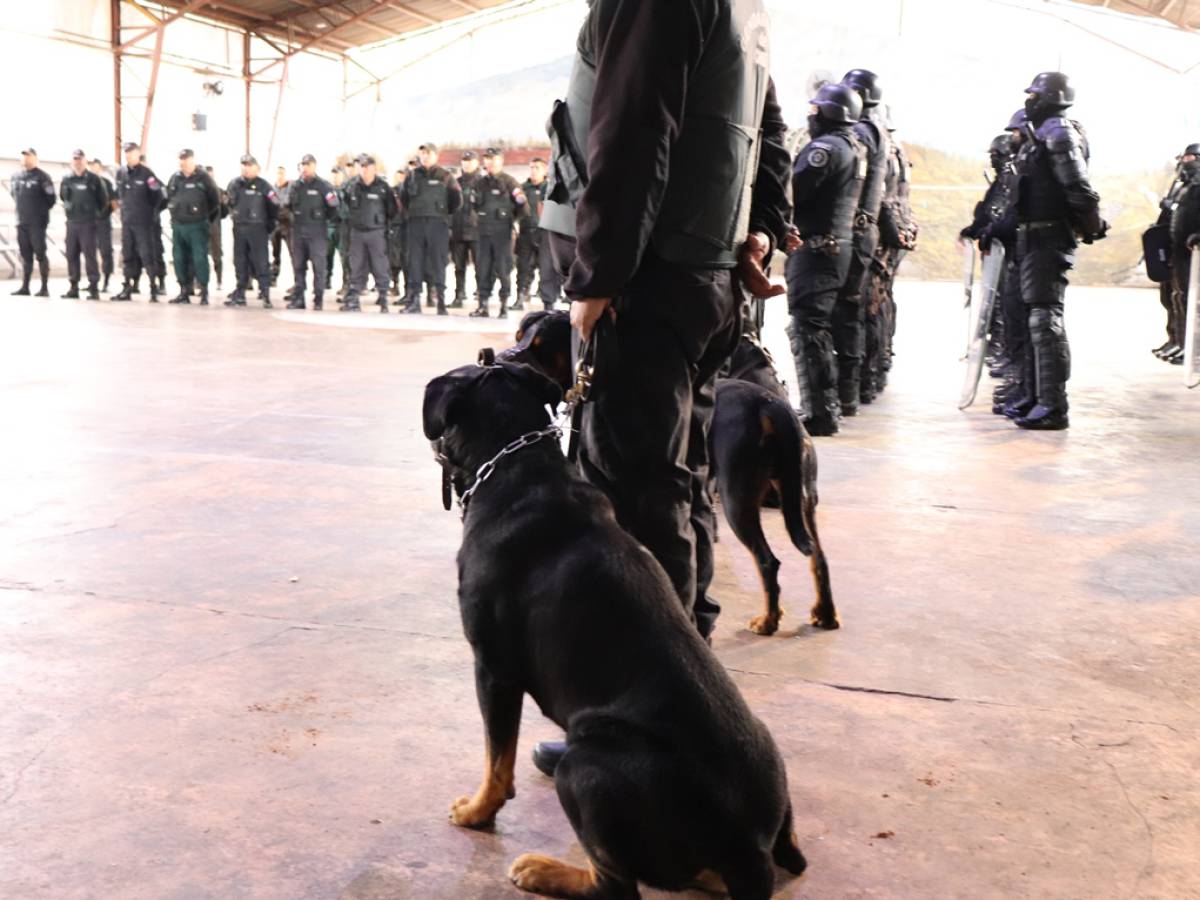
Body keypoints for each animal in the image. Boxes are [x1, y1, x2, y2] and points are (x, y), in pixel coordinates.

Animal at [422, 362, 806, 900]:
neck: (520, 464)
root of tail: (748, 846)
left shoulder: (493, 668)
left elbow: (497, 758)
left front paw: (477, 811)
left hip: (585, 765)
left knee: (614, 885)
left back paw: (543, 869)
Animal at [492, 314, 840, 638]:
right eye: (519, 336)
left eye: (542, 347)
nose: (500, 359)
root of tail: (769, 407)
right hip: (800, 495)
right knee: (819, 556)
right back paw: (824, 612)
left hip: (738, 495)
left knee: (768, 560)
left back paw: (768, 620)